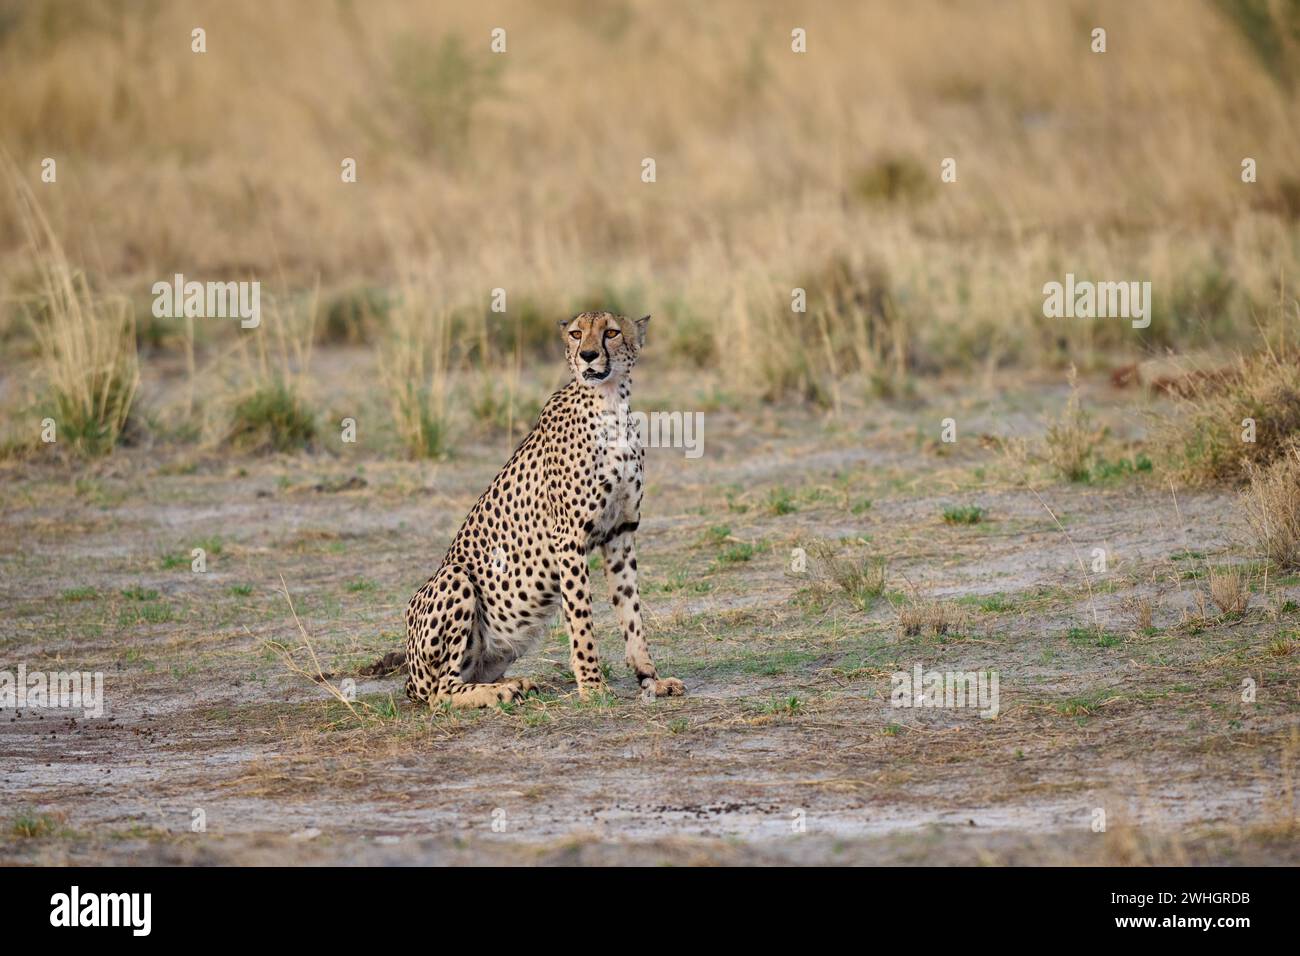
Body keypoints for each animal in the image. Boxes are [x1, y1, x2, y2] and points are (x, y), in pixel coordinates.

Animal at [403, 310, 691, 707]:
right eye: (576, 334)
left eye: (611, 332)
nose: (588, 355)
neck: (611, 405)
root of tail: (408, 681)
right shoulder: (568, 537)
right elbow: (581, 617)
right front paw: (592, 686)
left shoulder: (621, 532)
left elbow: (631, 611)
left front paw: (650, 679)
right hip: (455, 577)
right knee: (440, 692)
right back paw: (499, 691)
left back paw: (514, 683)